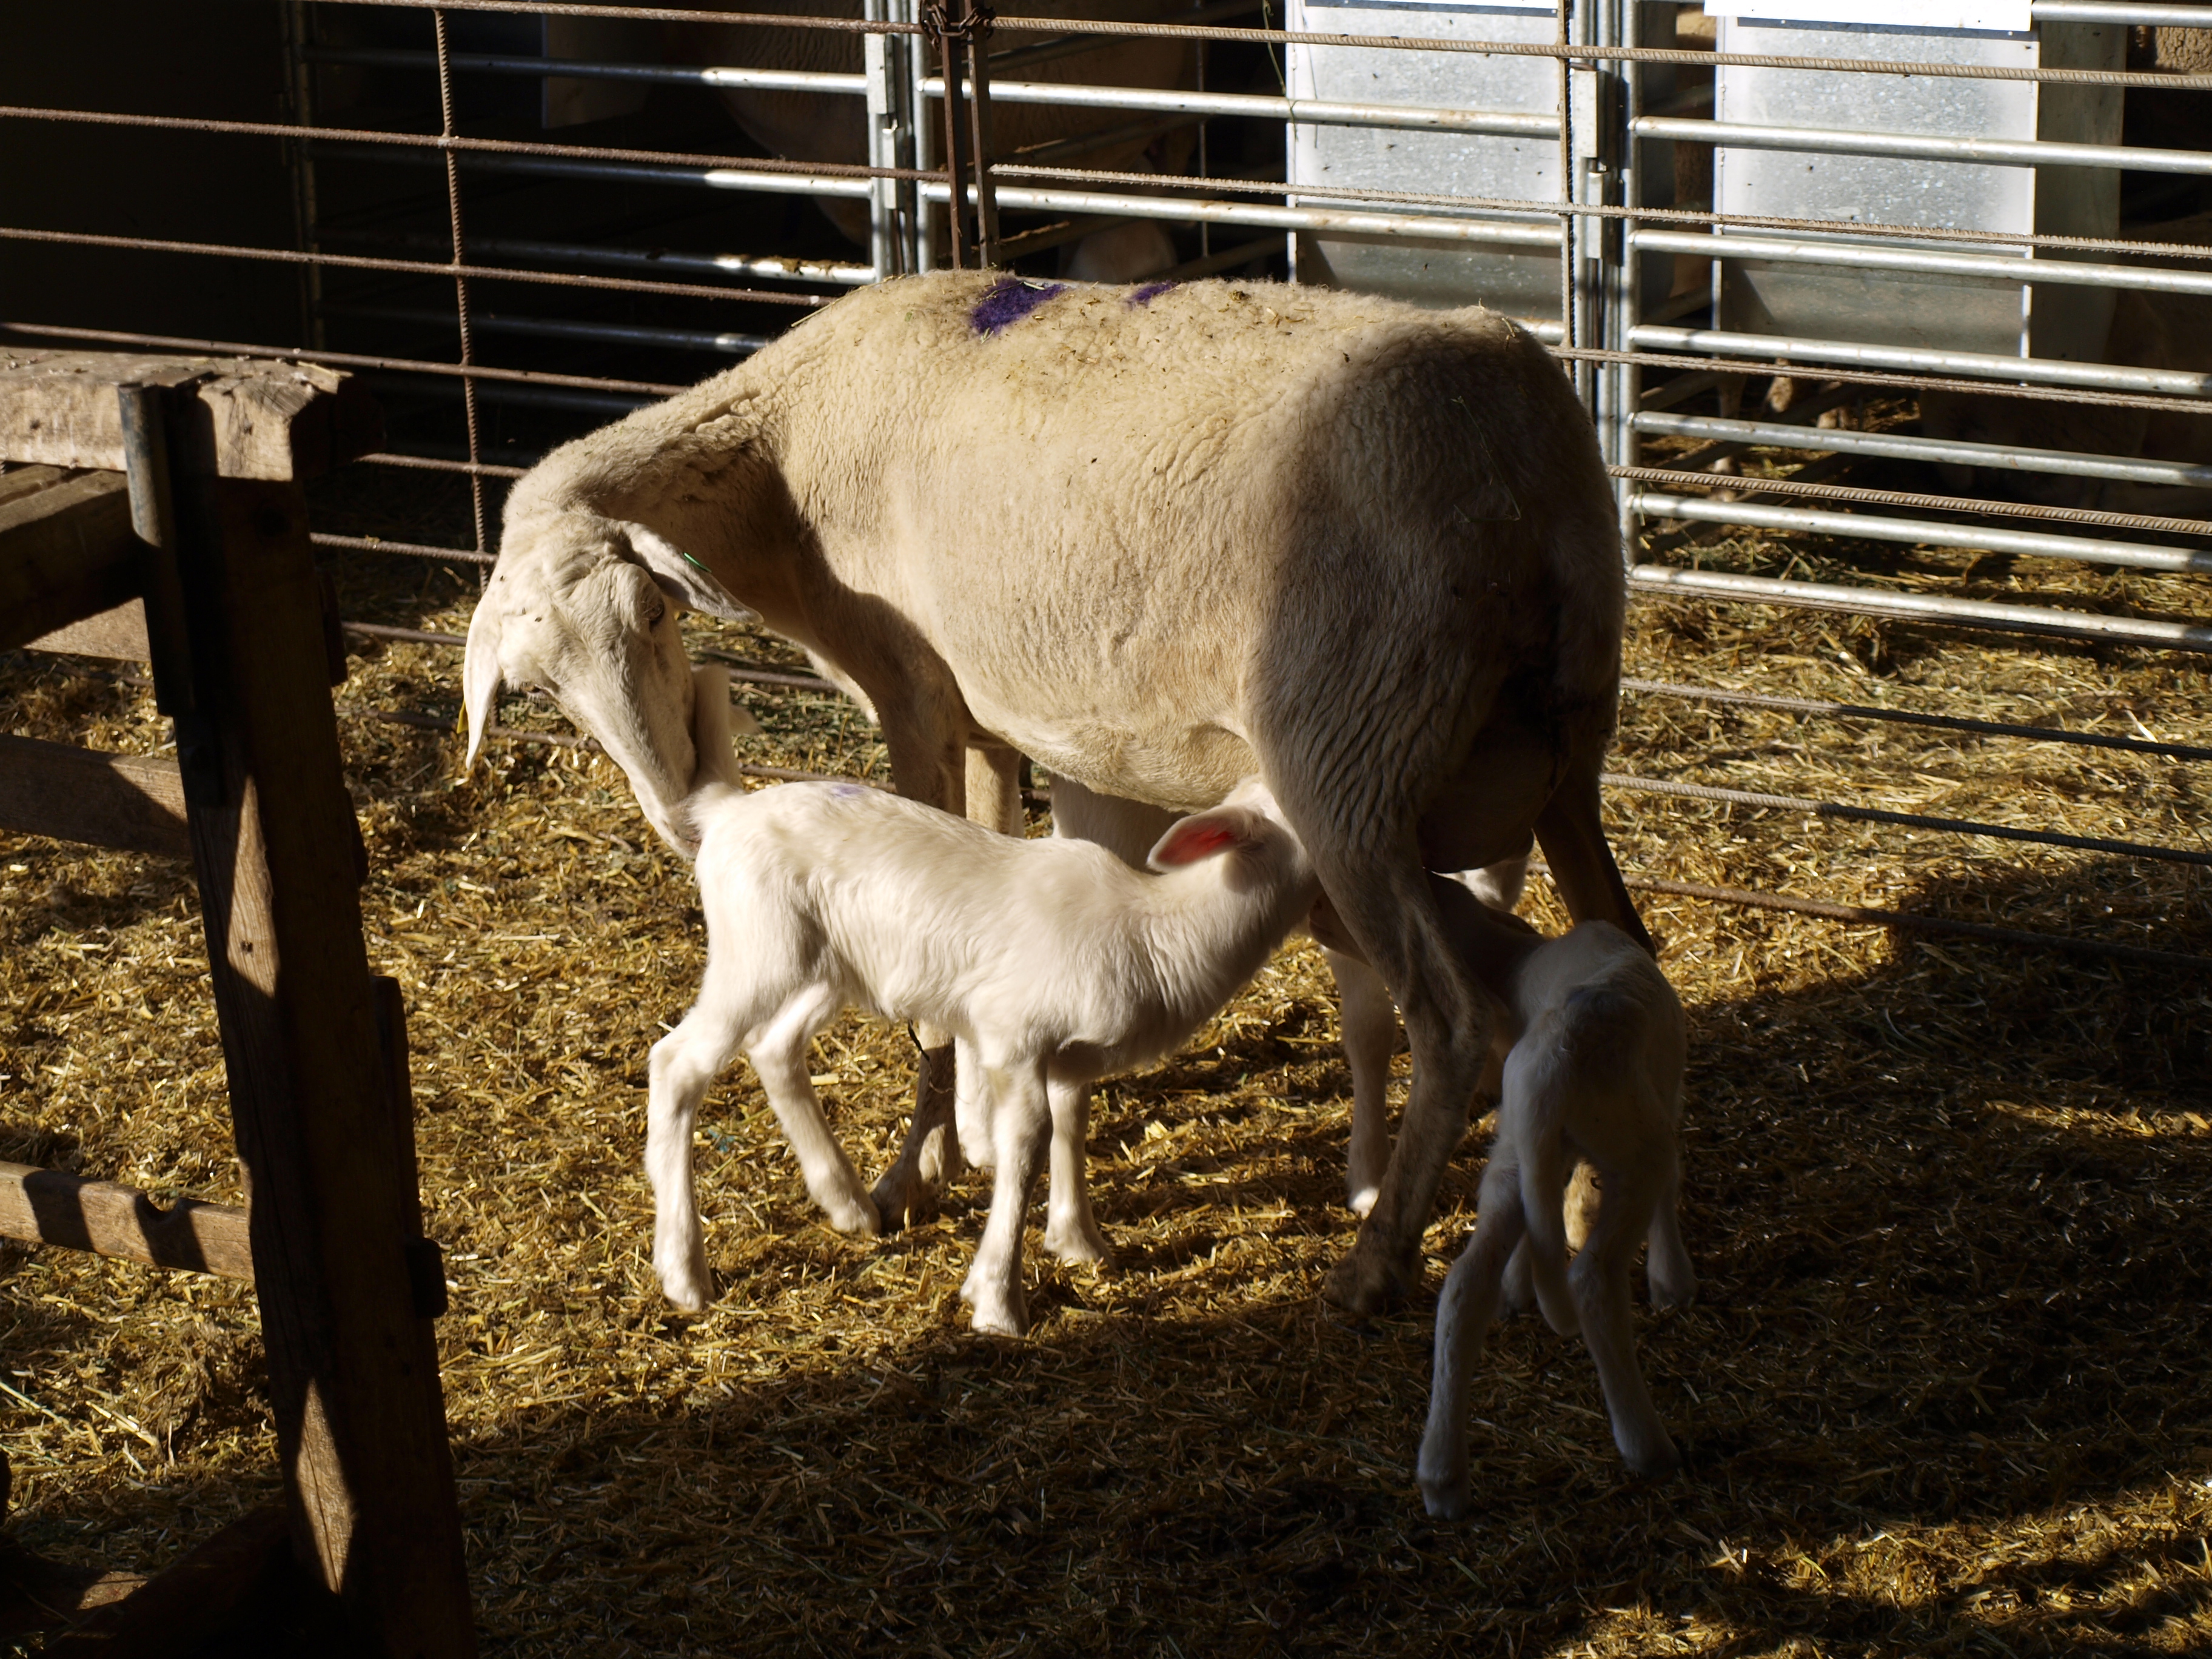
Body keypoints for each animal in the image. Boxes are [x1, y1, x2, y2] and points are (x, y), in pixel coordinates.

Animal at [646, 663, 1318, 1336]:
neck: (1158, 929)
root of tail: (728, 809)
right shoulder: (1011, 1037)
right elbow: (1026, 1144)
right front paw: (998, 1299)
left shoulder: (1070, 1056)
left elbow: (1071, 1124)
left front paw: (1079, 1242)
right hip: (757, 951)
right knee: (678, 1062)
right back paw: (685, 1273)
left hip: (826, 965)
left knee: (775, 1047)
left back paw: (848, 1205)